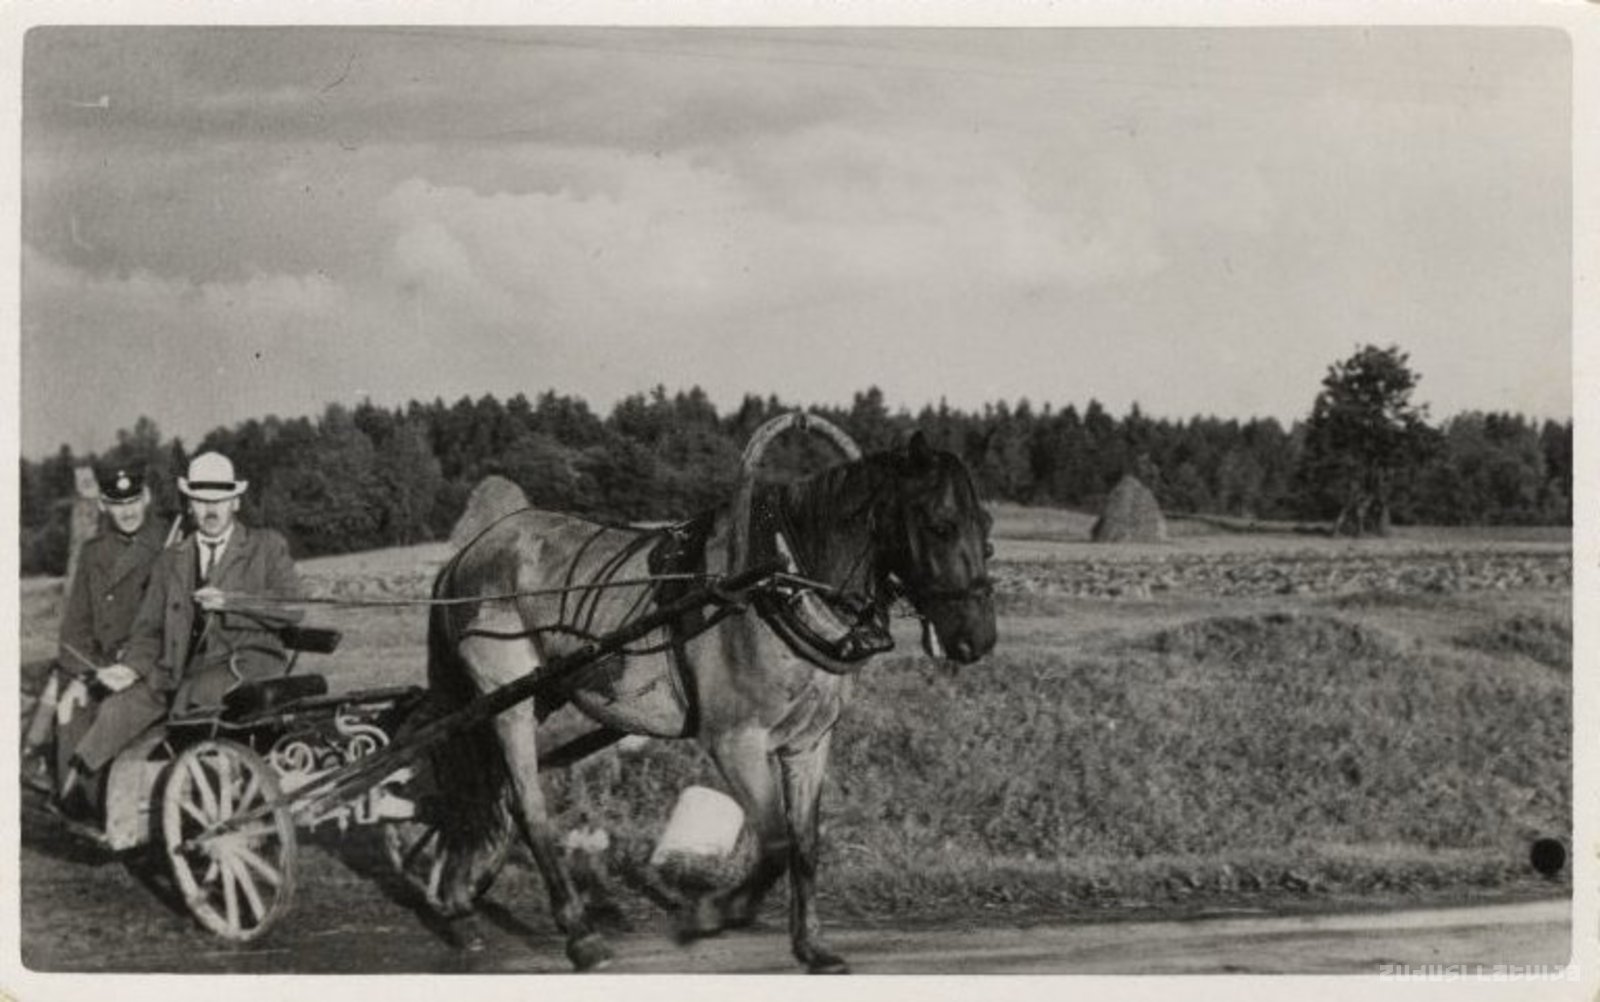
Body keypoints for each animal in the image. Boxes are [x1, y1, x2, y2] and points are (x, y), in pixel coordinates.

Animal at [416, 430, 996, 973]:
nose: (978, 638)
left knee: (489, 792)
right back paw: (577, 933)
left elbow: (805, 844)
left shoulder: (808, 745)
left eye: (986, 528)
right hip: (506, 696)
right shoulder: (735, 741)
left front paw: (811, 946)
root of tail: (469, 552)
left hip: (537, 694)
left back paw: (461, 897)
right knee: (526, 803)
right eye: (941, 525)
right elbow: (776, 843)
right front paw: (712, 914)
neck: (779, 582)